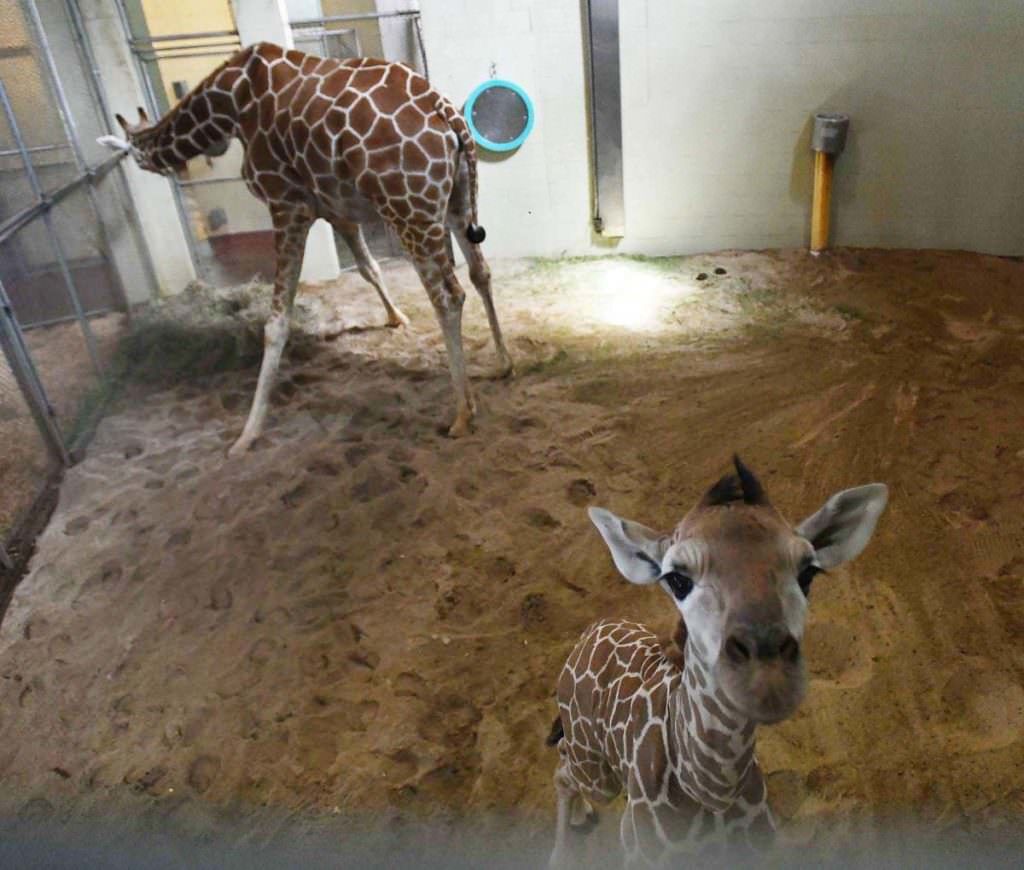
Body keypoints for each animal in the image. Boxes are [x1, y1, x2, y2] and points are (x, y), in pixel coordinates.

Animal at [99, 42, 512, 454]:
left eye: (133, 153)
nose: (150, 165)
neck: (229, 101)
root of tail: (449, 116)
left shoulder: (286, 204)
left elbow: (276, 322)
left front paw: (246, 435)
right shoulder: (335, 210)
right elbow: (368, 268)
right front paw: (396, 318)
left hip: (408, 209)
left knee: (448, 296)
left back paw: (462, 413)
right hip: (457, 200)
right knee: (480, 272)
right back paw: (502, 364)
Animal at [547, 457, 888, 868]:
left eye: (808, 572)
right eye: (677, 579)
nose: (768, 679)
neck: (707, 793)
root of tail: (590, 632)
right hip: (597, 770)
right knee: (563, 771)